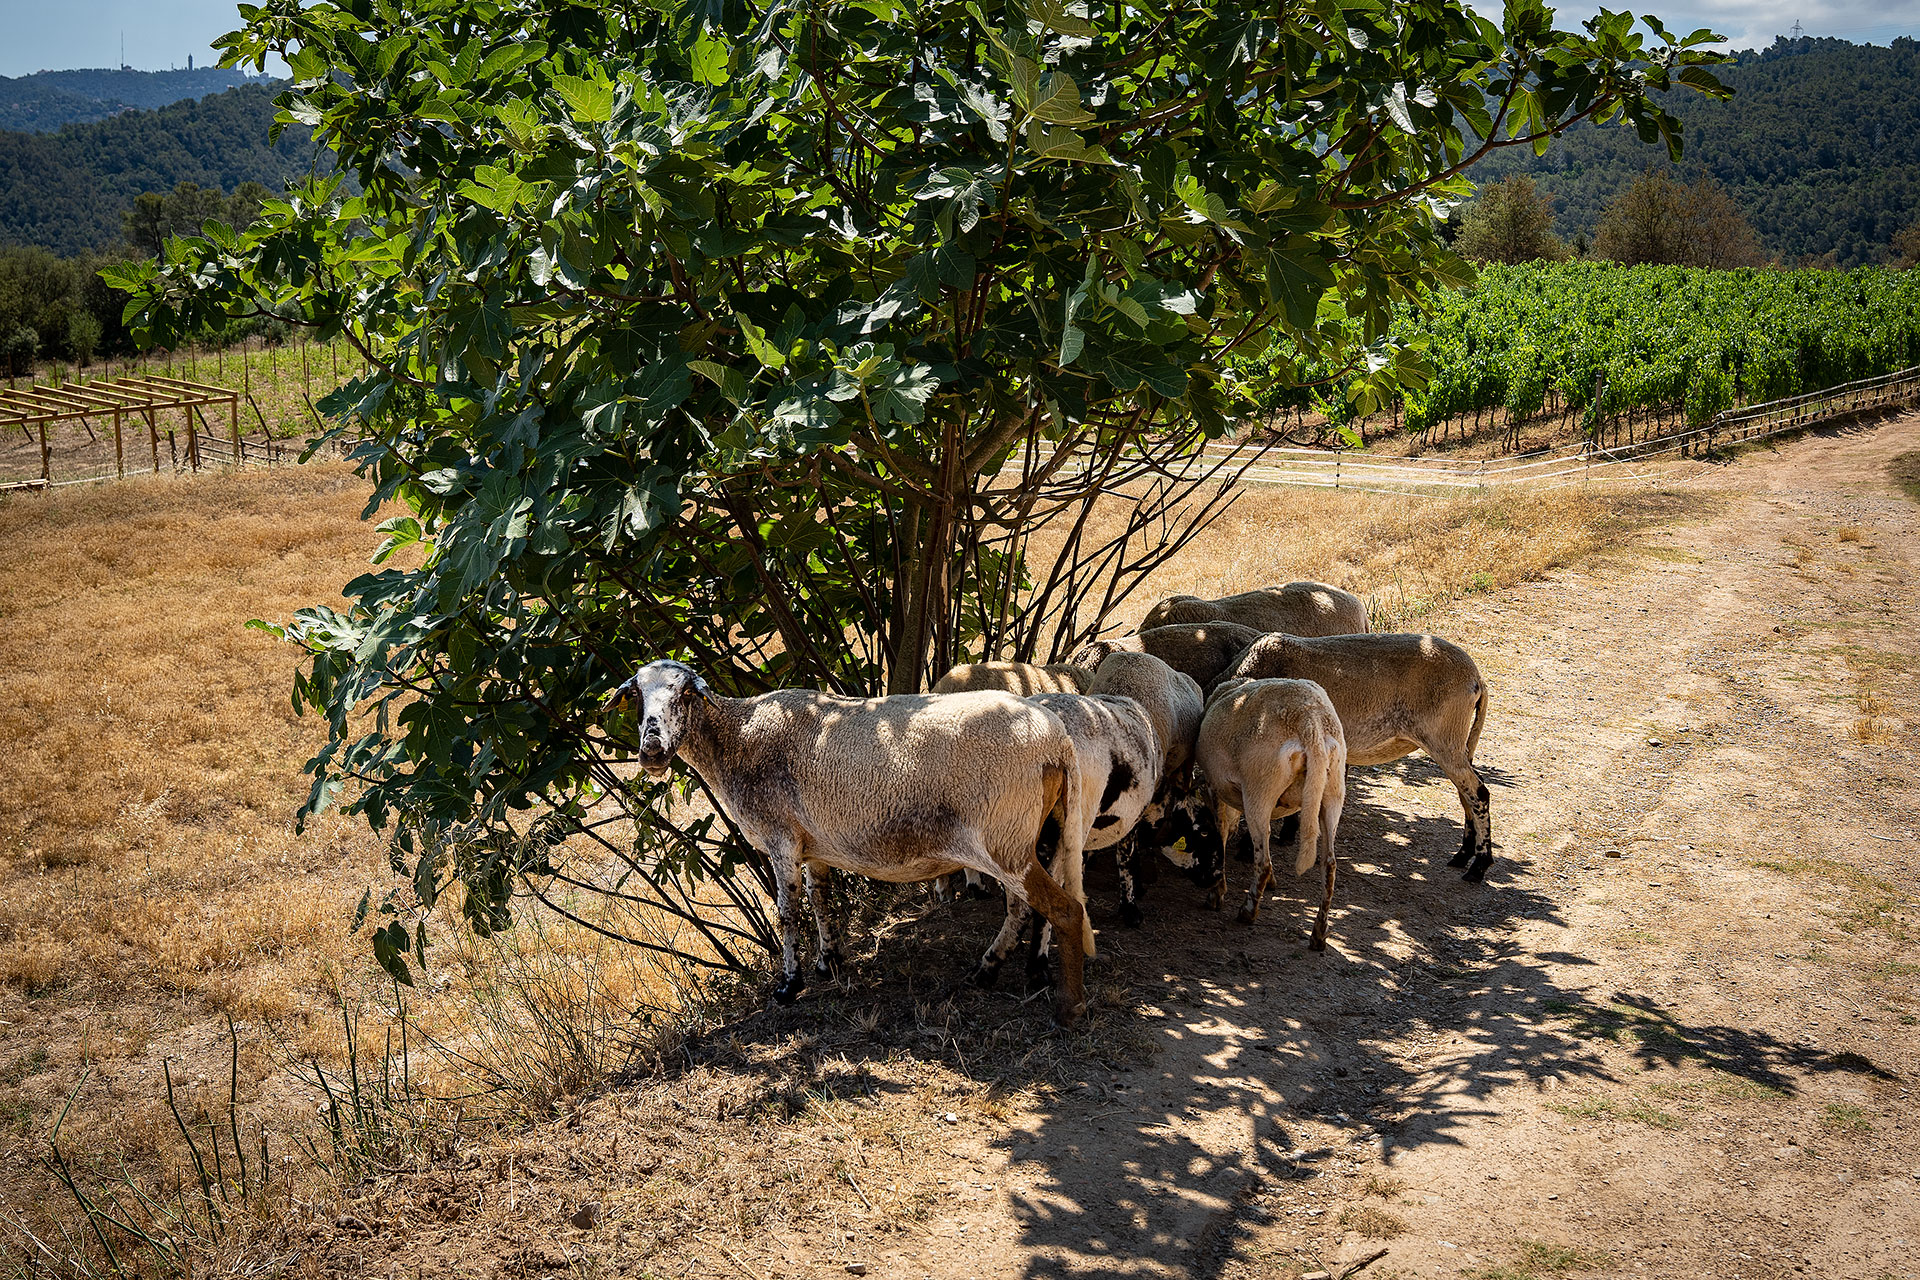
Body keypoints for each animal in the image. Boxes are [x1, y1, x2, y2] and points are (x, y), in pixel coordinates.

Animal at [610, 667, 1098, 1028]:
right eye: (636, 696)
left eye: (684, 695)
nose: (651, 750)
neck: (739, 737)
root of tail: (1057, 739)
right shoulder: (814, 846)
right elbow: (820, 900)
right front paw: (829, 962)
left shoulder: (781, 837)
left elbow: (787, 914)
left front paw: (789, 985)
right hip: (1036, 831)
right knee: (1030, 908)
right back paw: (1003, 969)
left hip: (1004, 836)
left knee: (1064, 909)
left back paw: (1068, 1006)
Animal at [1190, 679, 1344, 951]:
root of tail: (1310, 722)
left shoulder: (1214, 786)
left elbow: (1220, 832)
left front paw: (1217, 893)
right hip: (1333, 791)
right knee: (1329, 865)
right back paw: (1319, 935)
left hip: (1259, 787)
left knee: (1263, 861)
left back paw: (1247, 912)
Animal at [1213, 629, 1497, 882]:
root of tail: (1476, 679)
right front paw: (1287, 833)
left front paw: (1251, 847)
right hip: (1458, 742)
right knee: (1466, 794)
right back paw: (1463, 855)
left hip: (1444, 737)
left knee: (1478, 792)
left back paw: (1479, 867)